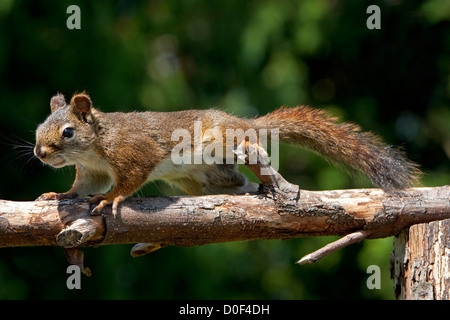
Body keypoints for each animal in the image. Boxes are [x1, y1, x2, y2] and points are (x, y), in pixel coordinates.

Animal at [33, 92, 420, 218]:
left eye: (67, 132)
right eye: (39, 127)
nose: (40, 153)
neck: (95, 147)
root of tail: (242, 122)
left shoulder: (134, 153)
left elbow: (128, 181)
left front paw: (110, 198)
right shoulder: (91, 171)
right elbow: (80, 189)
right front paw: (59, 194)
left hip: (222, 139)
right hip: (204, 178)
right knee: (235, 182)